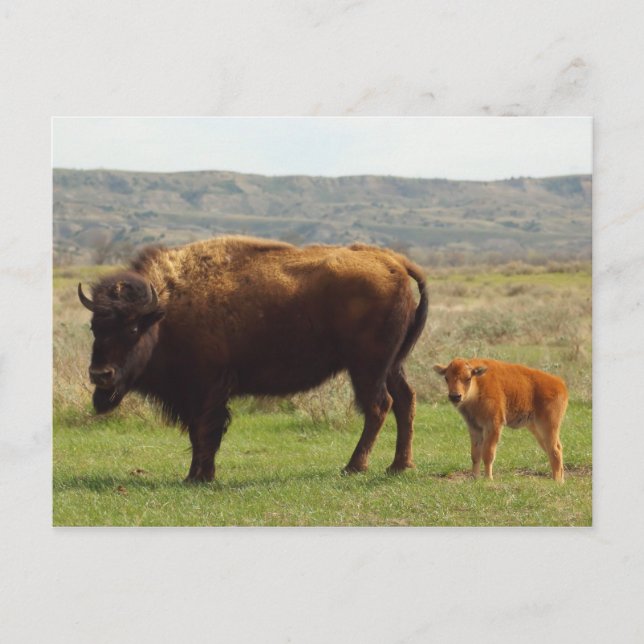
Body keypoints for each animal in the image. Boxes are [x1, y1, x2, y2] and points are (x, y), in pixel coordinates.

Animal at [78, 236, 428, 482]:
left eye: (133, 327)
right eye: (95, 326)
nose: (100, 374)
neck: (166, 309)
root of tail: (393, 261)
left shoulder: (206, 389)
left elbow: (204, 430)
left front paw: (201, 477)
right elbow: (198, 432)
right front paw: (193, 476)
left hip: (367, 367)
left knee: (378, 406)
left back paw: (354, 467)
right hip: (392, 365)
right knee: (405, 400)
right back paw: (399, 466)